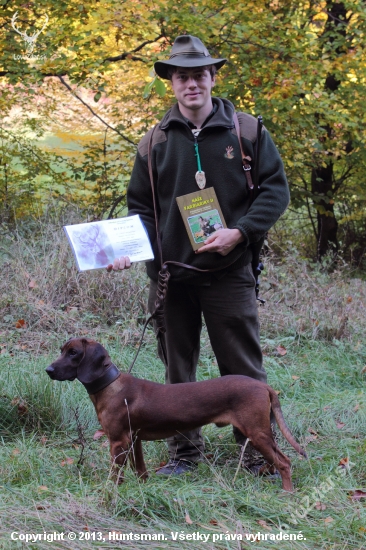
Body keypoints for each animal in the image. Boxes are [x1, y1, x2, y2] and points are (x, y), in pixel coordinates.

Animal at [47, 338, 308, 494]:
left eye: (73, 353)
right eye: (62, 351)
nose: (48, 370)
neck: (110, 386)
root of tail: (264, 386)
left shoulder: (118, 442)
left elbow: (115, 475)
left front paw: (111, 493)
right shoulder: (134, 439)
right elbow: (140, 470)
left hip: (257, 432)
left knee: (285, 462)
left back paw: (287, 492)